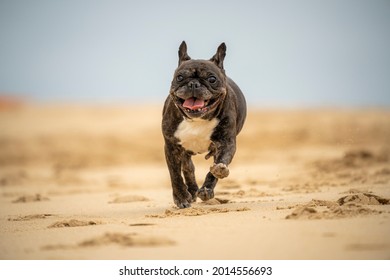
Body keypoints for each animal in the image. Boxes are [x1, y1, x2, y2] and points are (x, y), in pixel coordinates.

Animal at [161, 41, 247, 208]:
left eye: (212, 79)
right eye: (180, 77)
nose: (193, 84)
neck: (197, 119)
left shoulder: (226, 143)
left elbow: (217, 167)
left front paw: (207, 189)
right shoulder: (171, 146)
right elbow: (175, 174)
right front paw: (181, 197)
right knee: (188, 168)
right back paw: (191, 190)